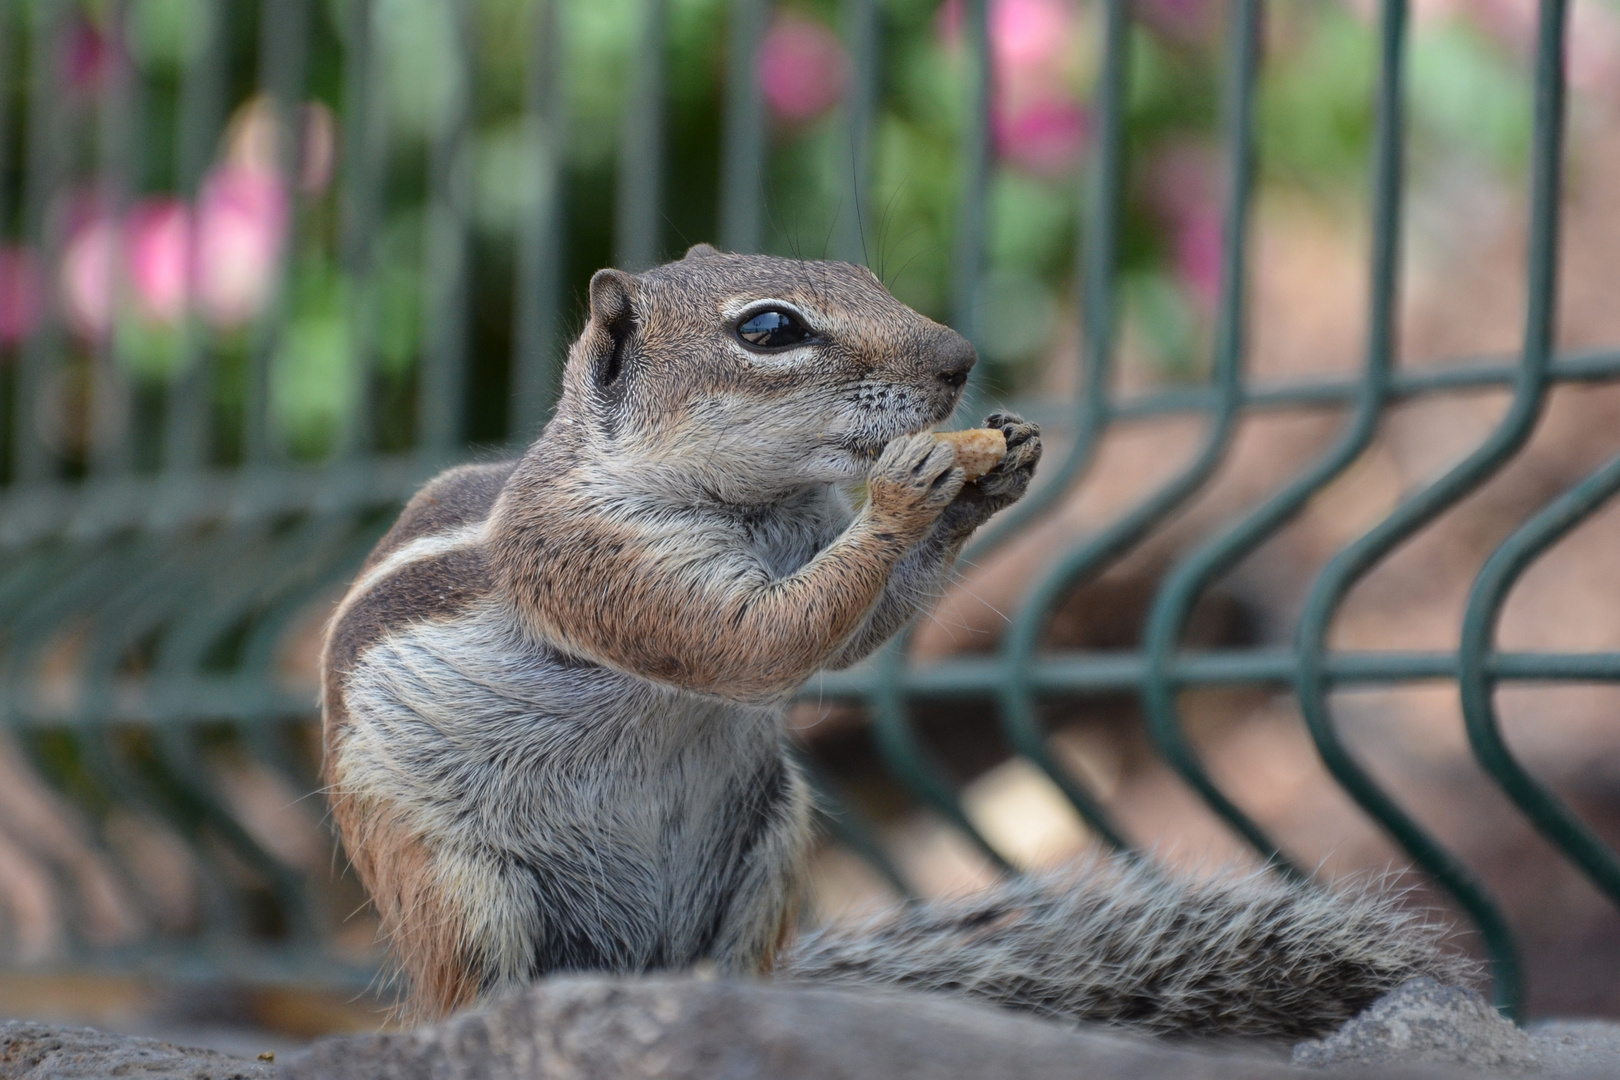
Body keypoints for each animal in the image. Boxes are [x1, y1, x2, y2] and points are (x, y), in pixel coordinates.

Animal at [322, 247, 1477, 1036]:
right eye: (771, 329)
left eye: (860, 272)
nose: (961, 360)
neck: (755, 503)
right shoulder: (594, 559)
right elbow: (752, 643)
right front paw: (910, 488)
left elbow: (833, 641)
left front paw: (994, 475)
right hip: (455, 891)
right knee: (474, 984)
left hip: (769, 846)